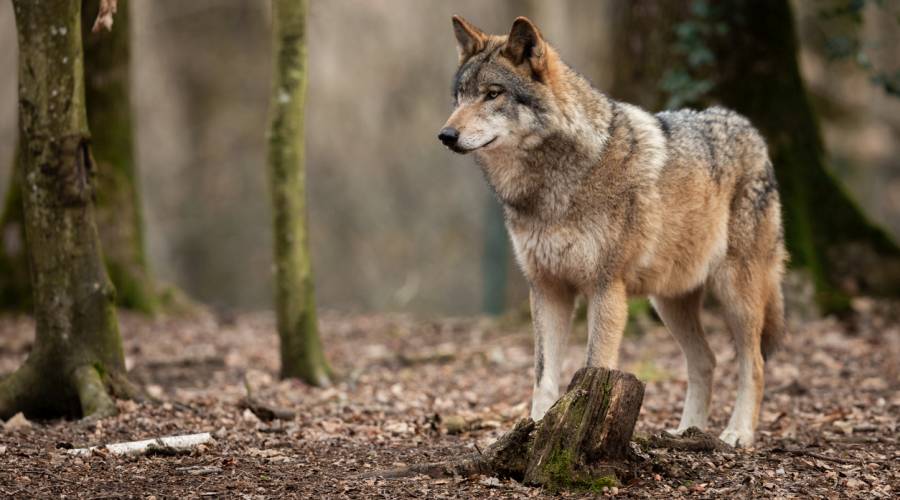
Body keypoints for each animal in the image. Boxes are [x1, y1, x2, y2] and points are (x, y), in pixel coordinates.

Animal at [438, 15, 788, 448]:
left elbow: (594, 367)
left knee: (753, 363)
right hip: (669, 301)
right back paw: (687, 432)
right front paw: (535, 432)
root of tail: (750, 128)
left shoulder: (606, 288)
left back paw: (738, 433)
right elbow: (543, 376)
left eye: (492, 94)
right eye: (460, 96)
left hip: (736, 294)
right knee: (706, 360)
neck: (552, 185)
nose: (446, 136)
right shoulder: (547, 289)